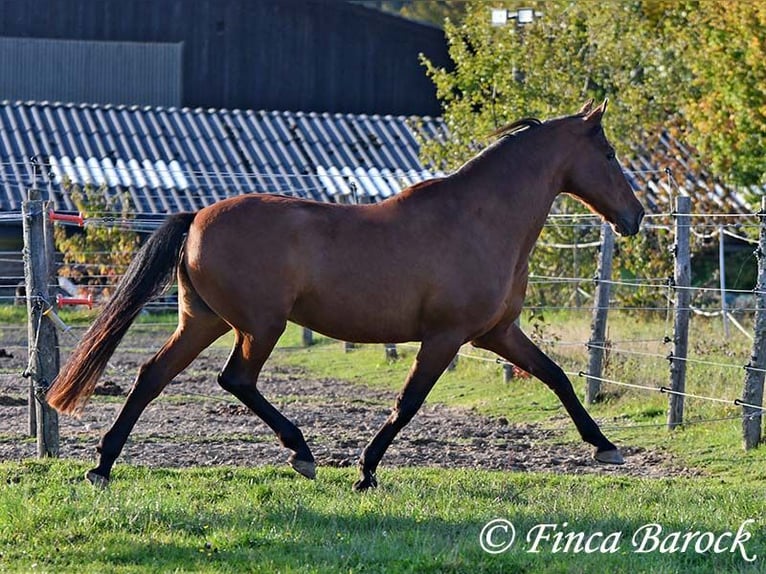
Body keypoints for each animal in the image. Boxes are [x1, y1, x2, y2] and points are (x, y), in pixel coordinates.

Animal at [46, 99, 644, 491]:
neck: (480, 219)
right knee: (235, 379)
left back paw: (101, 466)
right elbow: (407, 403)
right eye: (610, 153)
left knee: (152, 376)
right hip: (260, 326)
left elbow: (557, 376)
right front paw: (365, 471)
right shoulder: (445, 337)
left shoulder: (496, 333)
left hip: (204, 320)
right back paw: (302, 454)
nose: (635, 217)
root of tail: (197, 217)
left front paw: (606, 446)